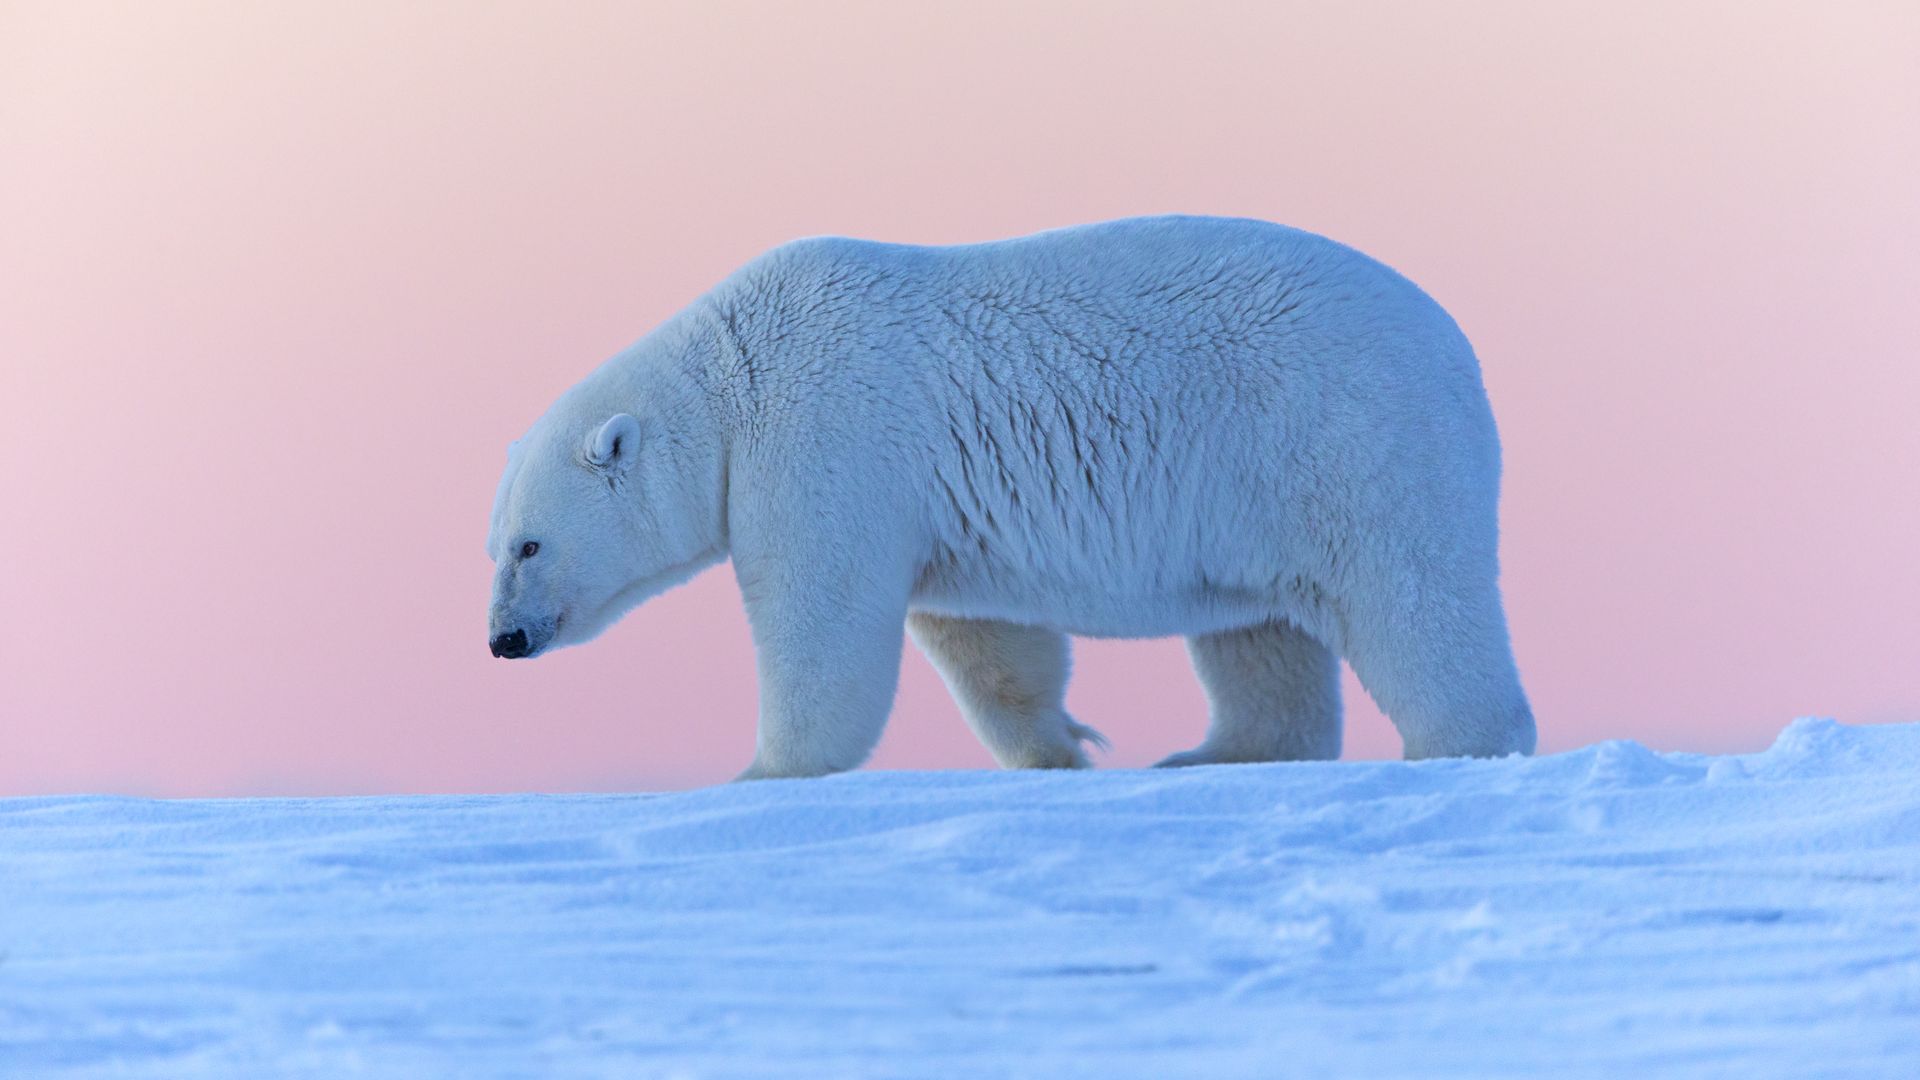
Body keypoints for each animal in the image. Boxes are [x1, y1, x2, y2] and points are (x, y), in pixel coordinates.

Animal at [487, 216, 1536, 772]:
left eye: (530, 545)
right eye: (494, 545)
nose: (502, 641)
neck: (732, 376)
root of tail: (1459, 348)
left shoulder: (823, 439)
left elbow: (820, 622)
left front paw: (762, 773)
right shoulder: (930, 511)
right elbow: (985, 641)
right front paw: (1059, 749)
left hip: (1348, 442)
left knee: (1414, 600)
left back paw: (1462, 748)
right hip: (1260, 496)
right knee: (1260, 637)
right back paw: (1210, 755)